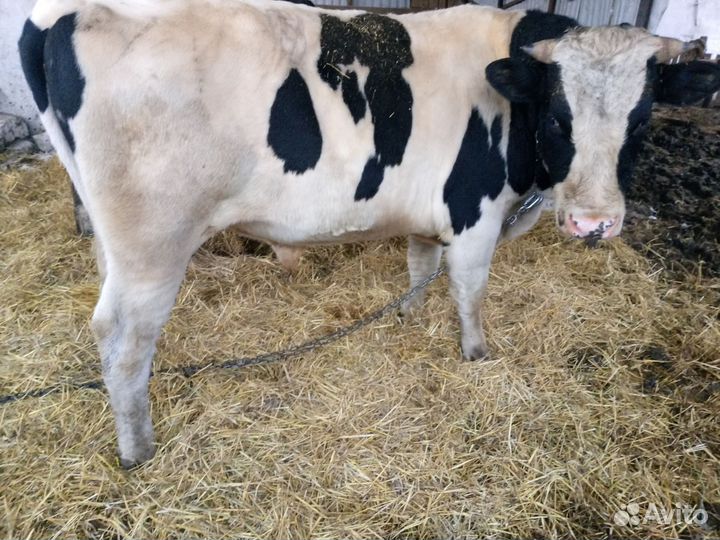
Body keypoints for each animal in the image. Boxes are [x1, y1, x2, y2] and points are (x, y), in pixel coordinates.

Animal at [19, 0, 720, 467]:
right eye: (556, 113)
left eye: (642, 116)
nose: (593, 222)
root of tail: (65, 12)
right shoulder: (474, 212)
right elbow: (469, 289)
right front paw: (476, 354)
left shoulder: (431, 213)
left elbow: (420, 268)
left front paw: (408, 315)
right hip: (154, 247)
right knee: (122, 341)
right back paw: (137, 448)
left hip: (115, 242)